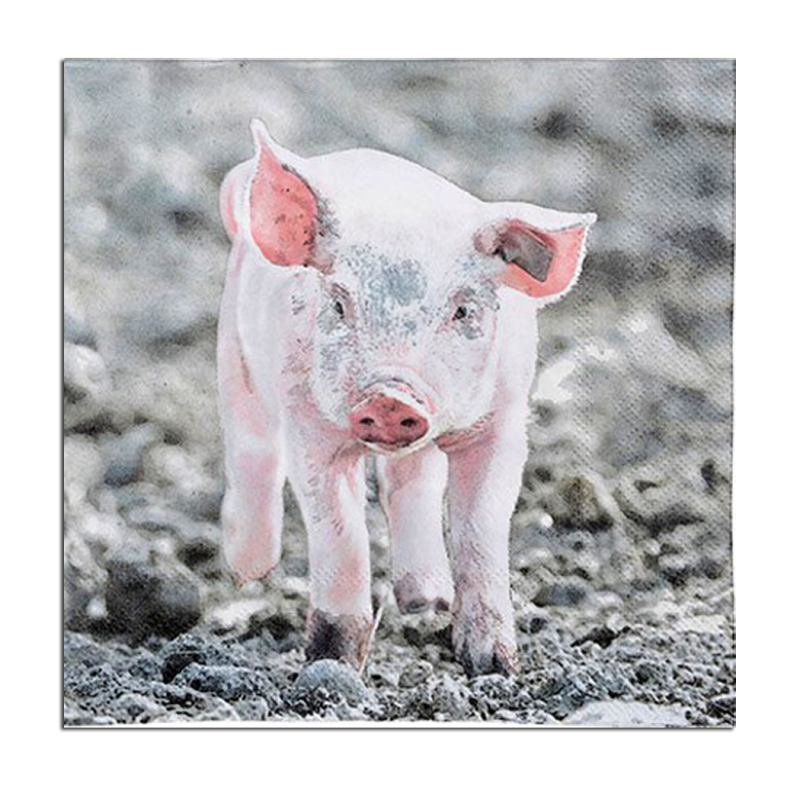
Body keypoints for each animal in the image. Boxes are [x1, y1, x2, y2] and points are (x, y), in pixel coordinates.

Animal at [217, 119, 596, 676]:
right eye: (338, 304)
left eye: (463, 310)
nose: (391, 397)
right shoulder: (308, 423)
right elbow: (341, 532)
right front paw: (330, 665)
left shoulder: (503, 421)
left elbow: (479, 527)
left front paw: (494, 666)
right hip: (235, 361)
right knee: (252, 457)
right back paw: (248, 573)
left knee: (412, 484)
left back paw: (426, 602)